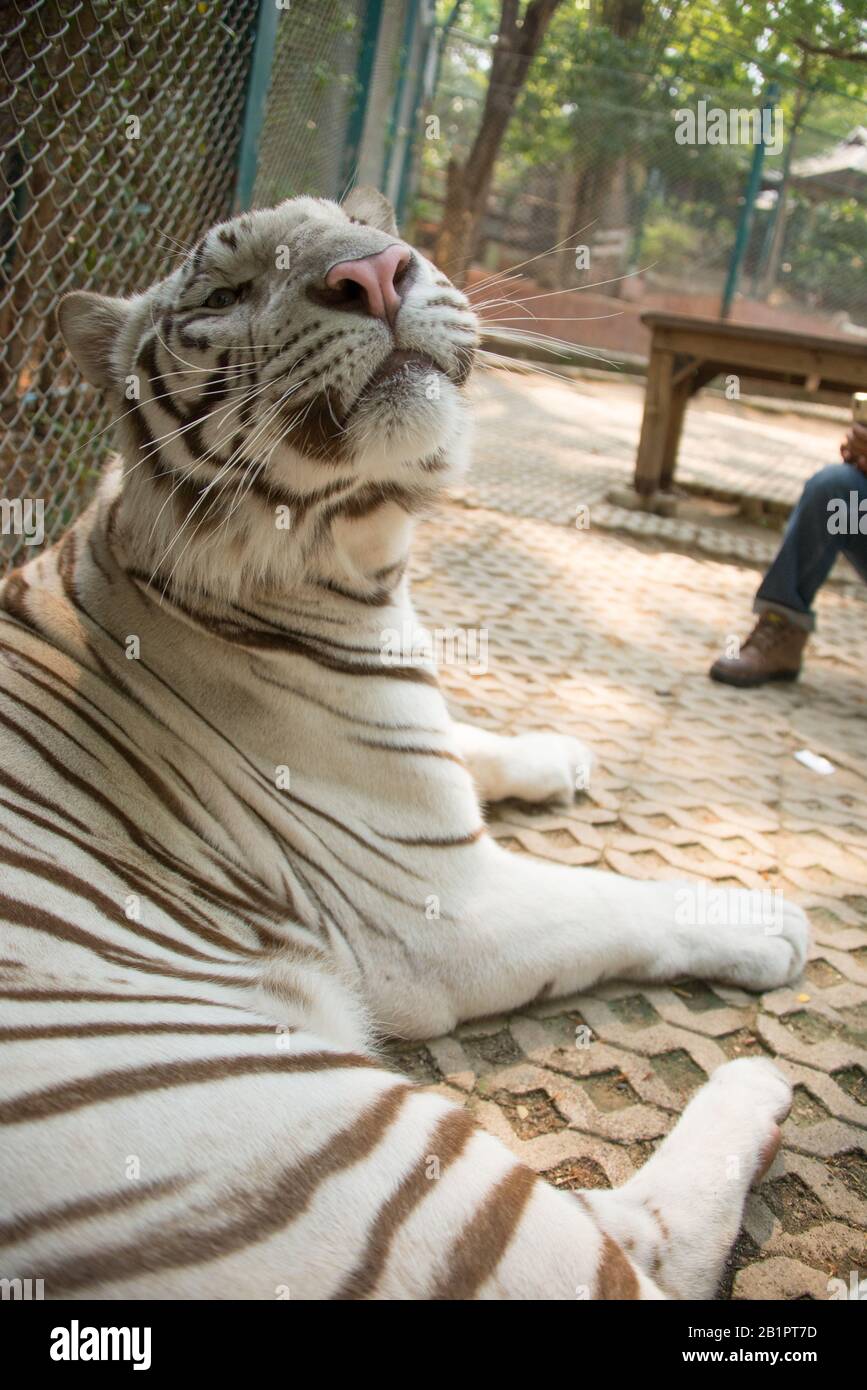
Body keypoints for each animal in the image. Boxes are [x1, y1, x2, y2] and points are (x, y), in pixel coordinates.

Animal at [0, 186, 809, 1300]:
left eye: (367, 226)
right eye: (224, 293)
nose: (377, 272)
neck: (360, 564)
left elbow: (467, 740)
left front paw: (557, 755)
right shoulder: (441, 910)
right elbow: (620, 902)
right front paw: (765, 917)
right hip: (333, 1149)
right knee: (637, 1257)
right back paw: (756, 1087)